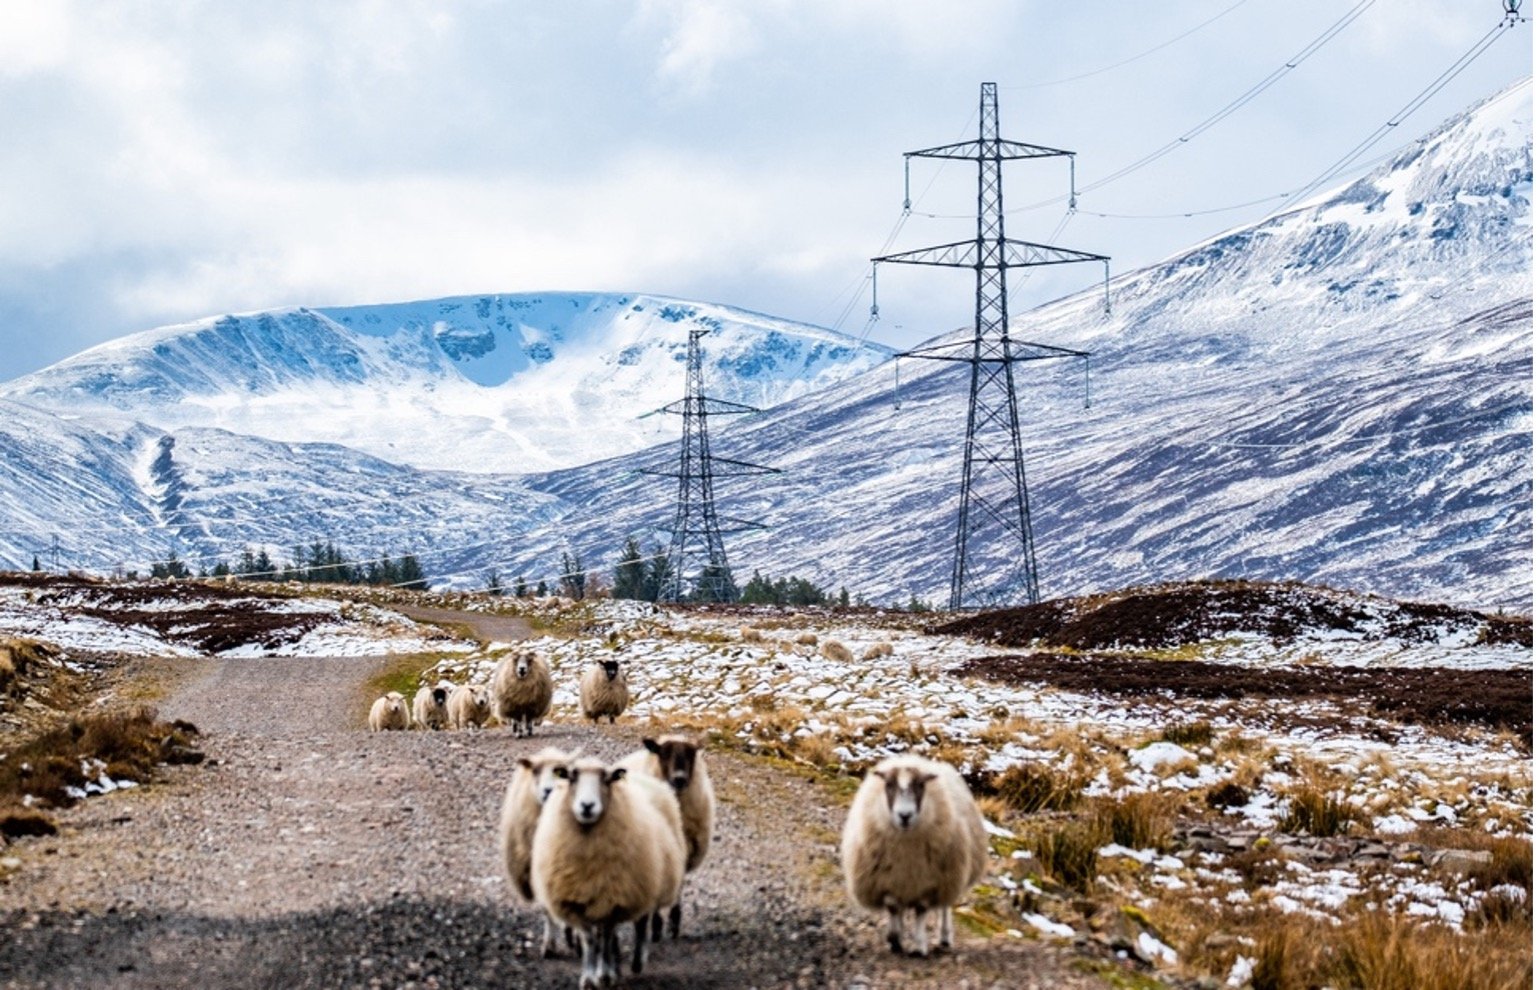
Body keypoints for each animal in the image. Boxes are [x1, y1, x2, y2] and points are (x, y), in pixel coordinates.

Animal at [537, 758, 688, 982]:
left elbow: (607, 934)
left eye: (606, 780)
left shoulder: (614, 899)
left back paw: (636, 962)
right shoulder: (577, 900)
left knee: (641, 924)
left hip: (645, 883)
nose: (587, 806)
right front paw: (590, 978)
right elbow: (591, 938)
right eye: (572, 778)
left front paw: (606, 975)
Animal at [617, 733, 718, 939]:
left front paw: (673, 921)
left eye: (691, 754)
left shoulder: (684, 849)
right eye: (663, 753)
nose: (679, 779)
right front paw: (657, 925)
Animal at [841, 752, 983, 951]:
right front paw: (894, 938)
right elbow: (893, 906)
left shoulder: (931, 882)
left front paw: (918, 945)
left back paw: (945, 937)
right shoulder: (887, 878)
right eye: (889, 785)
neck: (905, 849)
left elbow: (921, 910)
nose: (905, 815)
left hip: (951, 876)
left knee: (945, 907)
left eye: (921, 785)